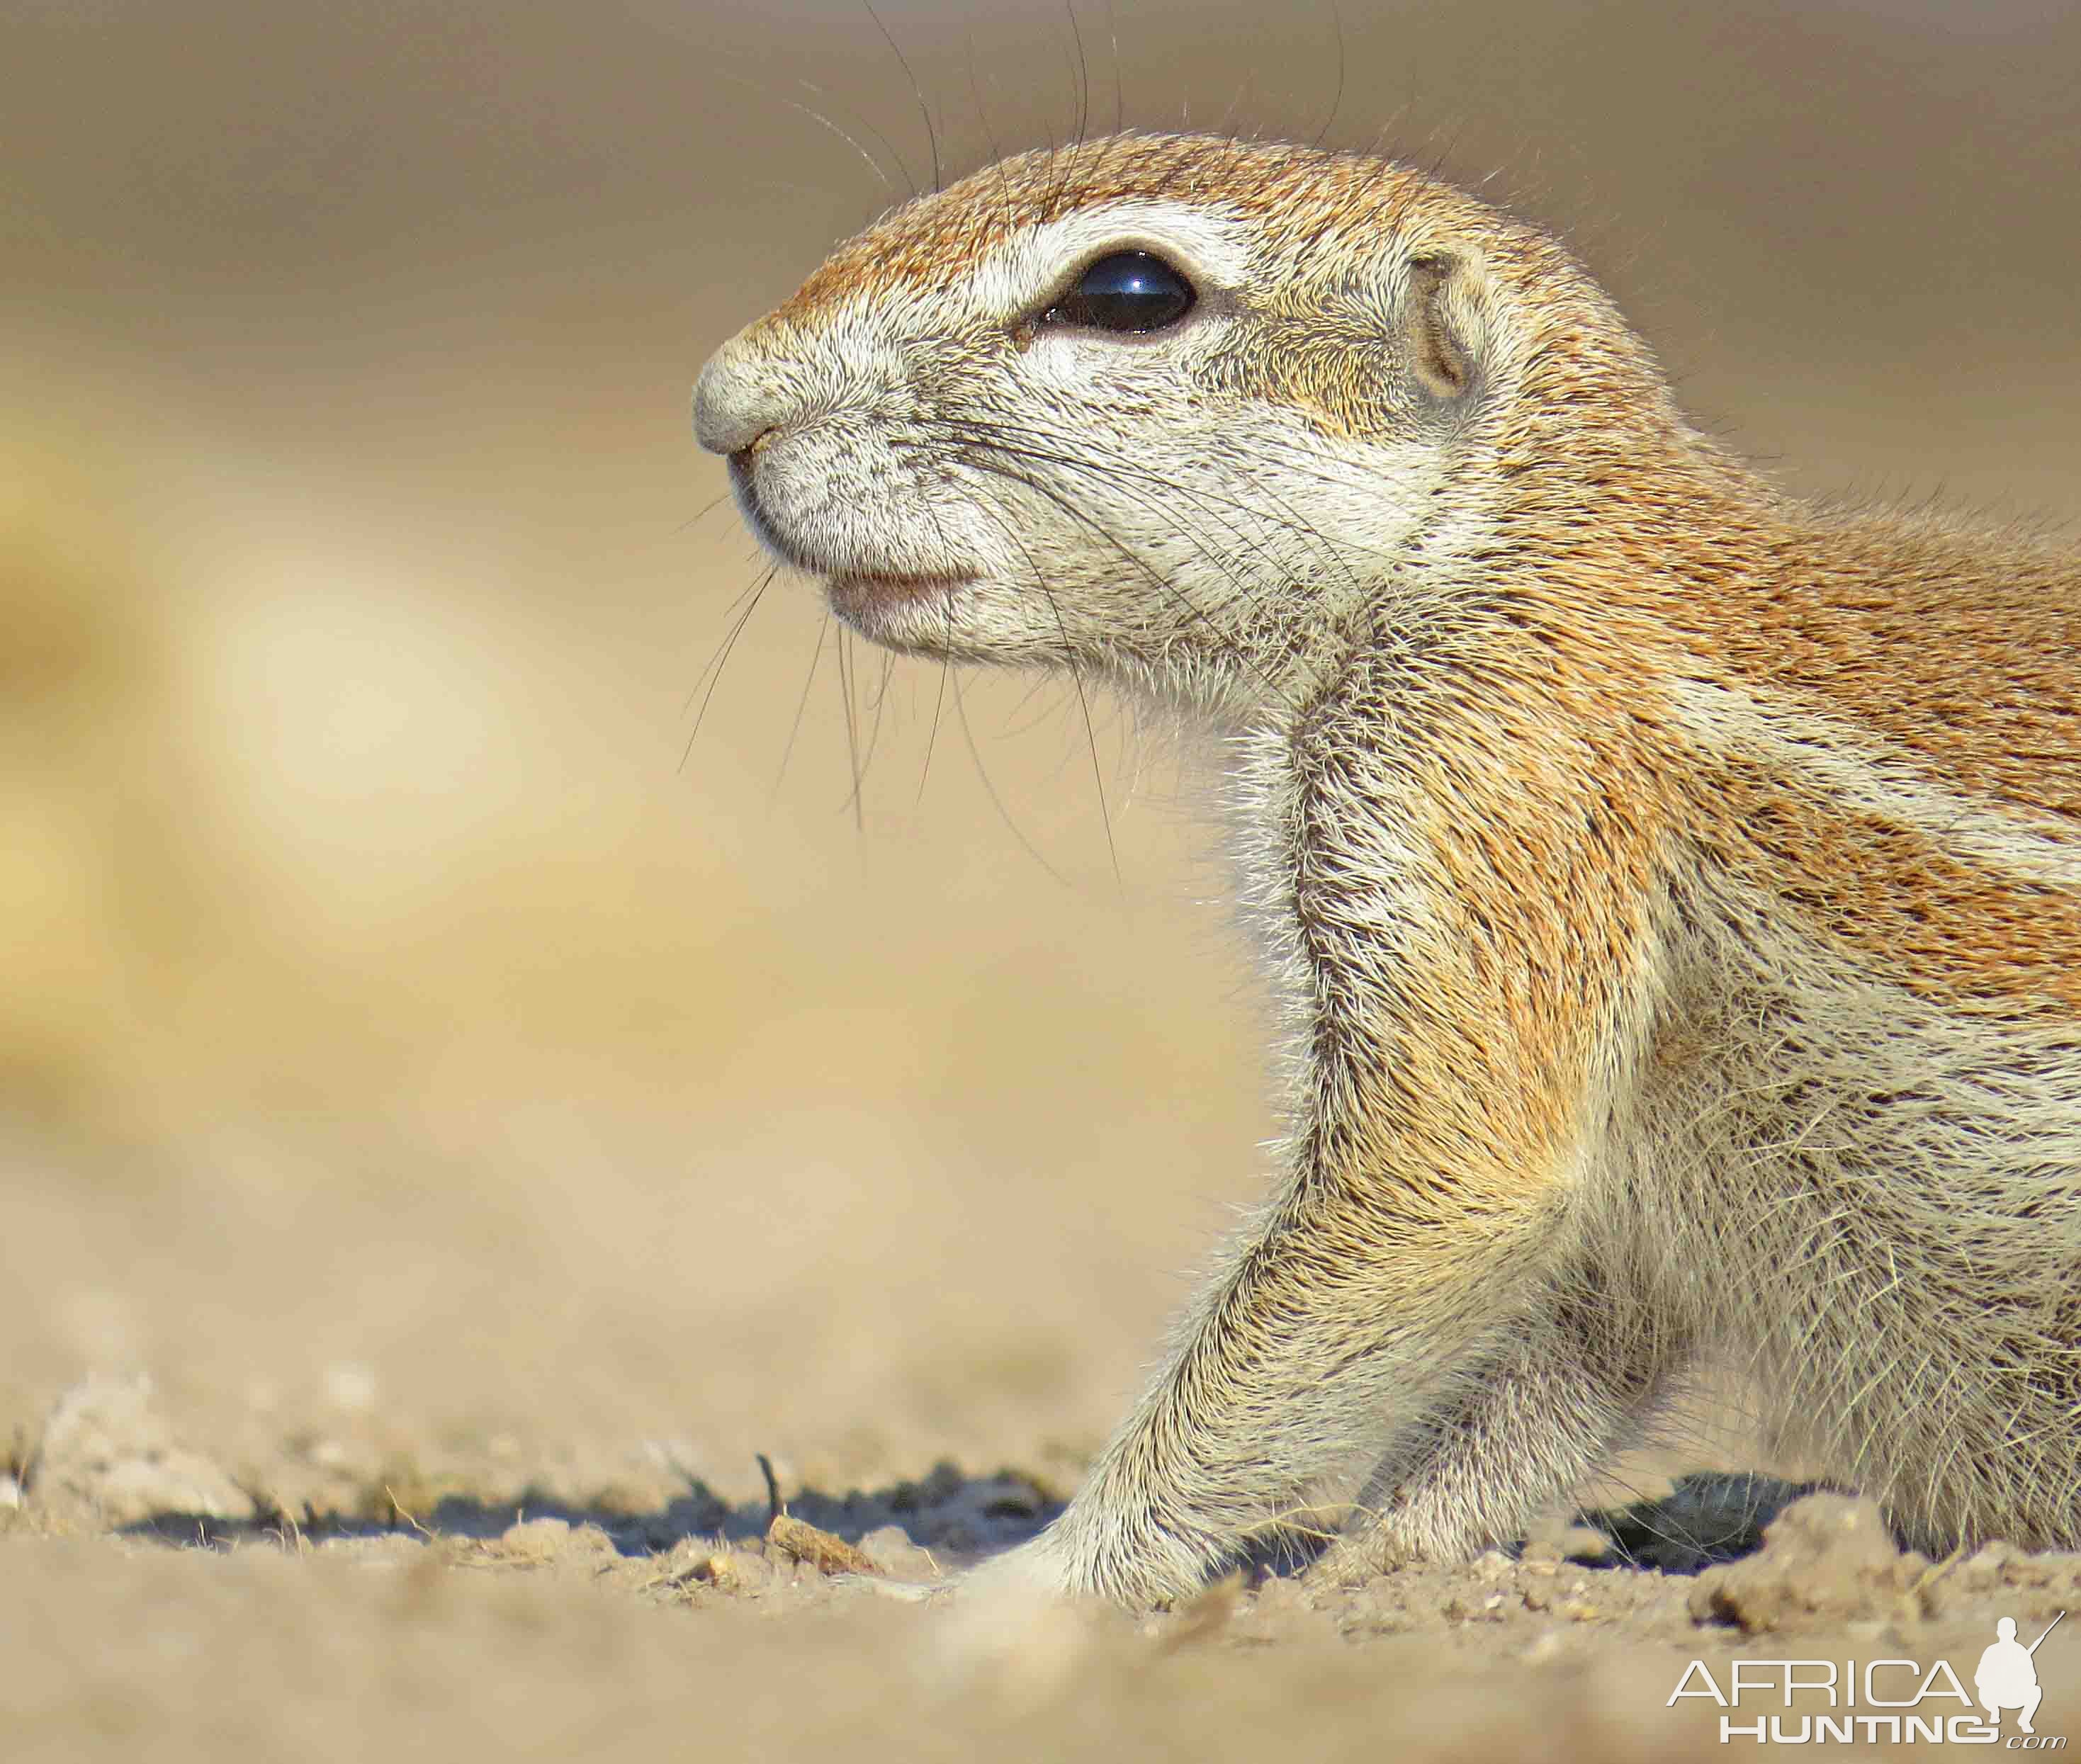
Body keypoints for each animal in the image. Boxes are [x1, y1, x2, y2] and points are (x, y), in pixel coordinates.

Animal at [694, 130, 2081, 1605]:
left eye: (1128, 293)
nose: (720, 408)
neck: (1498, 549)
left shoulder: (1470, 796)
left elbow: (1441, 1196)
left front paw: (1014, 1586)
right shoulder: (1626, 1192)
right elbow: (1539, 1376)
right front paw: (1366, 1560)